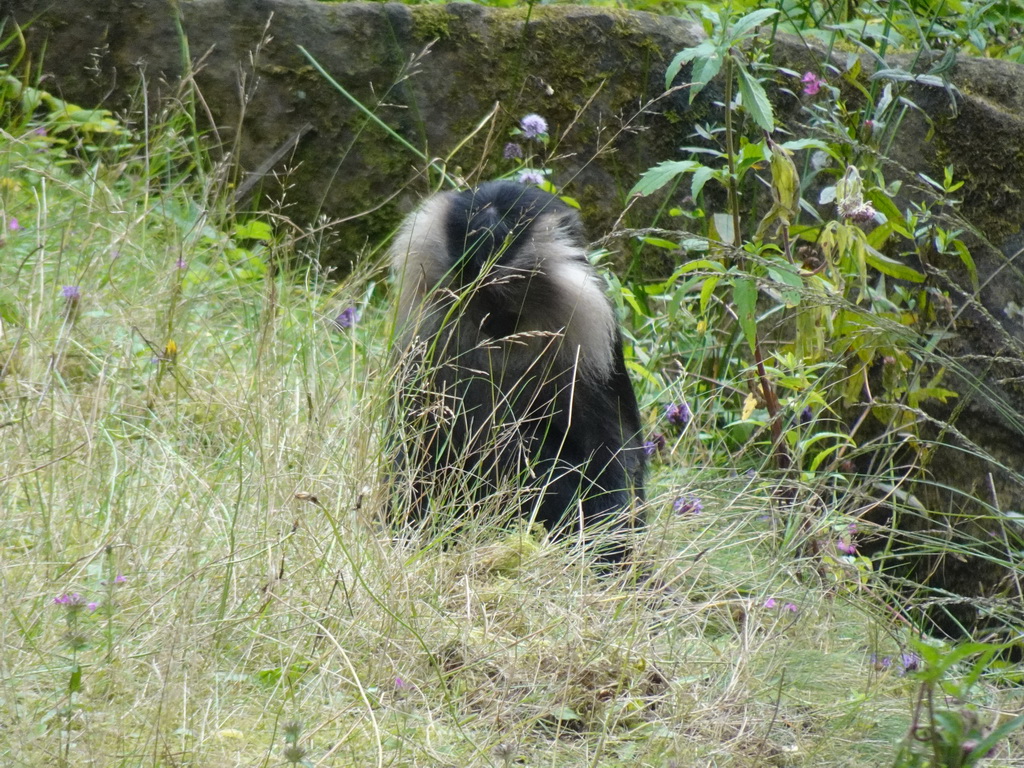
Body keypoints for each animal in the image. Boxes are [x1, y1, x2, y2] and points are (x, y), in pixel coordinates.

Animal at [387, 181, 643, 565]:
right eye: (471, 294)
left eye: (501, 296)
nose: (491, 325)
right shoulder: (427, 332)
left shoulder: (589, 338)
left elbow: (611, 442)